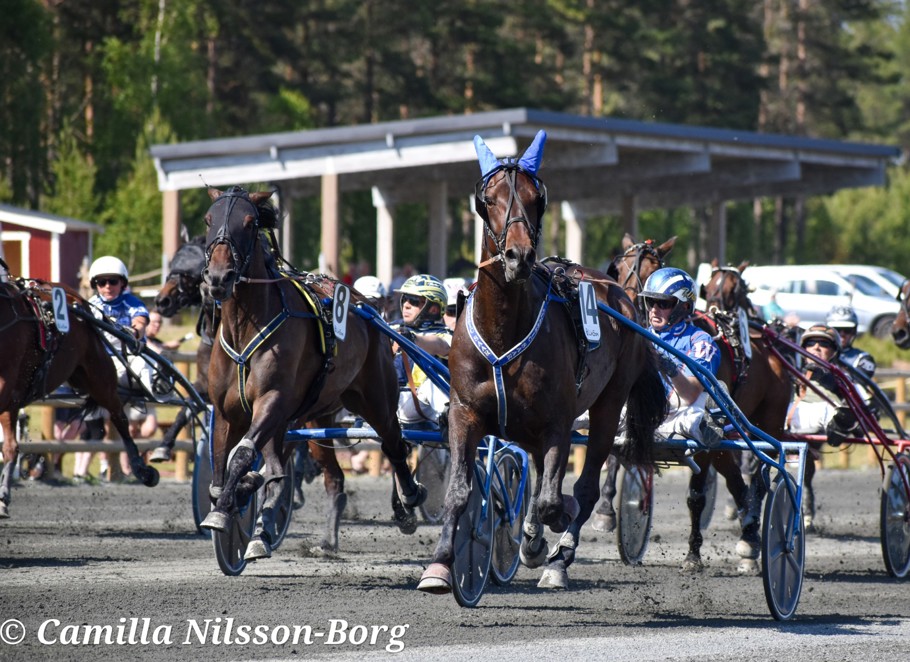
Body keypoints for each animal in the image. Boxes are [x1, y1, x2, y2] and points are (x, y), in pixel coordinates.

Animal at [198, 186, 425, 560]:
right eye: (208, 219)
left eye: (249, 222)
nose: (218, 278)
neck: (246, 326)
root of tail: (367, 307)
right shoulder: (228, 412)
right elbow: (224, 470)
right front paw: (234, 501)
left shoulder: (272, 401)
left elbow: (242, 455)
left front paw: (226, 509)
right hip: (313, 415)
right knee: (321, 474)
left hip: (375, 398)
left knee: (395, 444)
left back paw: (408, 501)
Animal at [417, 131, 667, 593]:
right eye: (490, 200)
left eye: (536, 199)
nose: (520, 256)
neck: (503, 330)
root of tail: (620, 296)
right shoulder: (465, 412)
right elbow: (459, 490)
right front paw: (441, 564)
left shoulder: (558, 422)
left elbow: (555, 499)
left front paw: (551, 537)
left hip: (608, 403)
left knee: (584, 487)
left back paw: (558, 557)